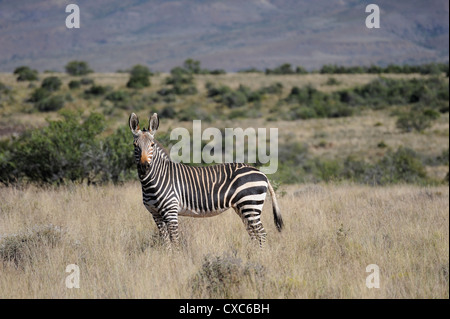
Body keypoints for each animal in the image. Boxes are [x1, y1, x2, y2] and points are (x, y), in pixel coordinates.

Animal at [128, 112, 284, 250]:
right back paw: (253, 255)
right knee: (253, 234)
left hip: (250, 205)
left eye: (152, 145)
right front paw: (167, 258)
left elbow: (175, 240)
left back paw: (259, 257)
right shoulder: (155, 214)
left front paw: (175, 260)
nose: (144, 167)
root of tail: (262, 173)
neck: (152, 182)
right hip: (242, 207)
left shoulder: (171, 211)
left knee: (261, 234)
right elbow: (166, 241)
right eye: (135, 145)